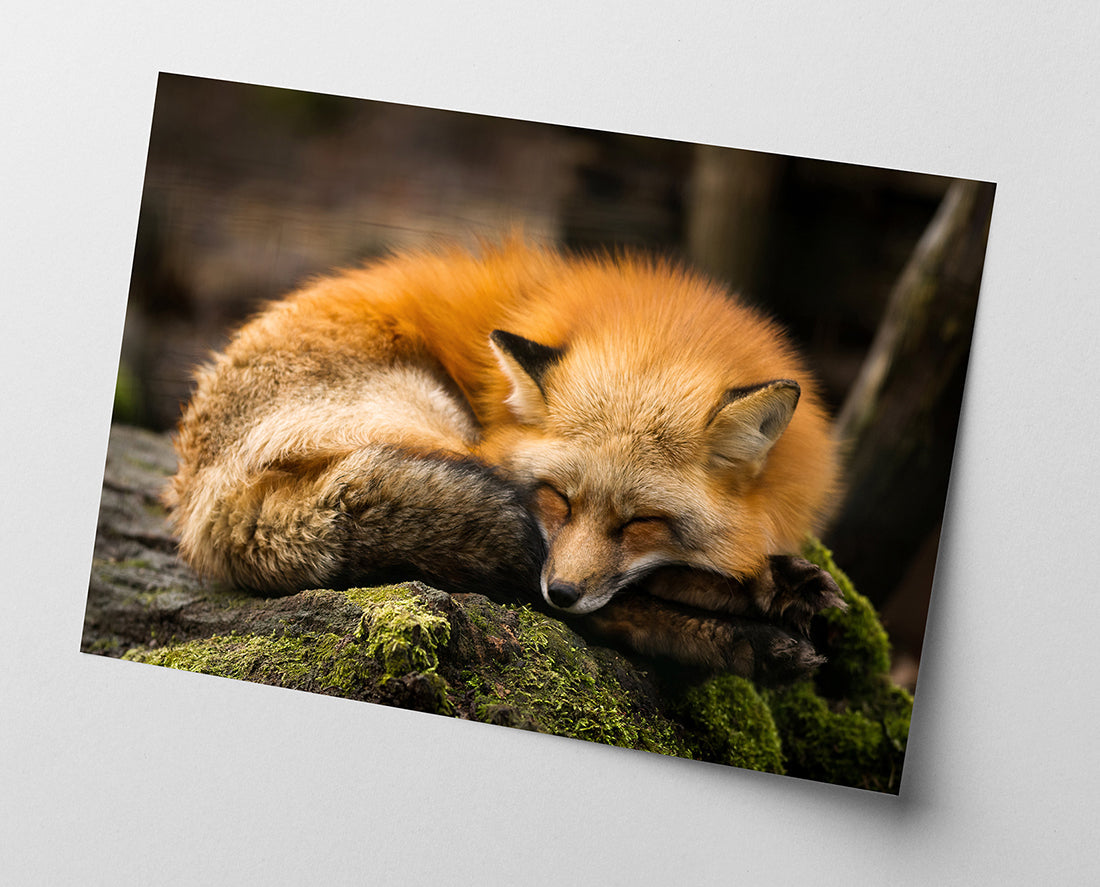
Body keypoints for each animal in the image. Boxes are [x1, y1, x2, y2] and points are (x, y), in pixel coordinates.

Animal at [165, 238, 844, 682]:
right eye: (559, 498)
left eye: (641, 523)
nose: (563, 592)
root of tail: (201, 506)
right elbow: (626, 589)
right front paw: (763, 591)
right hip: (435, 432)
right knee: (572, 602)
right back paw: (755, 631)